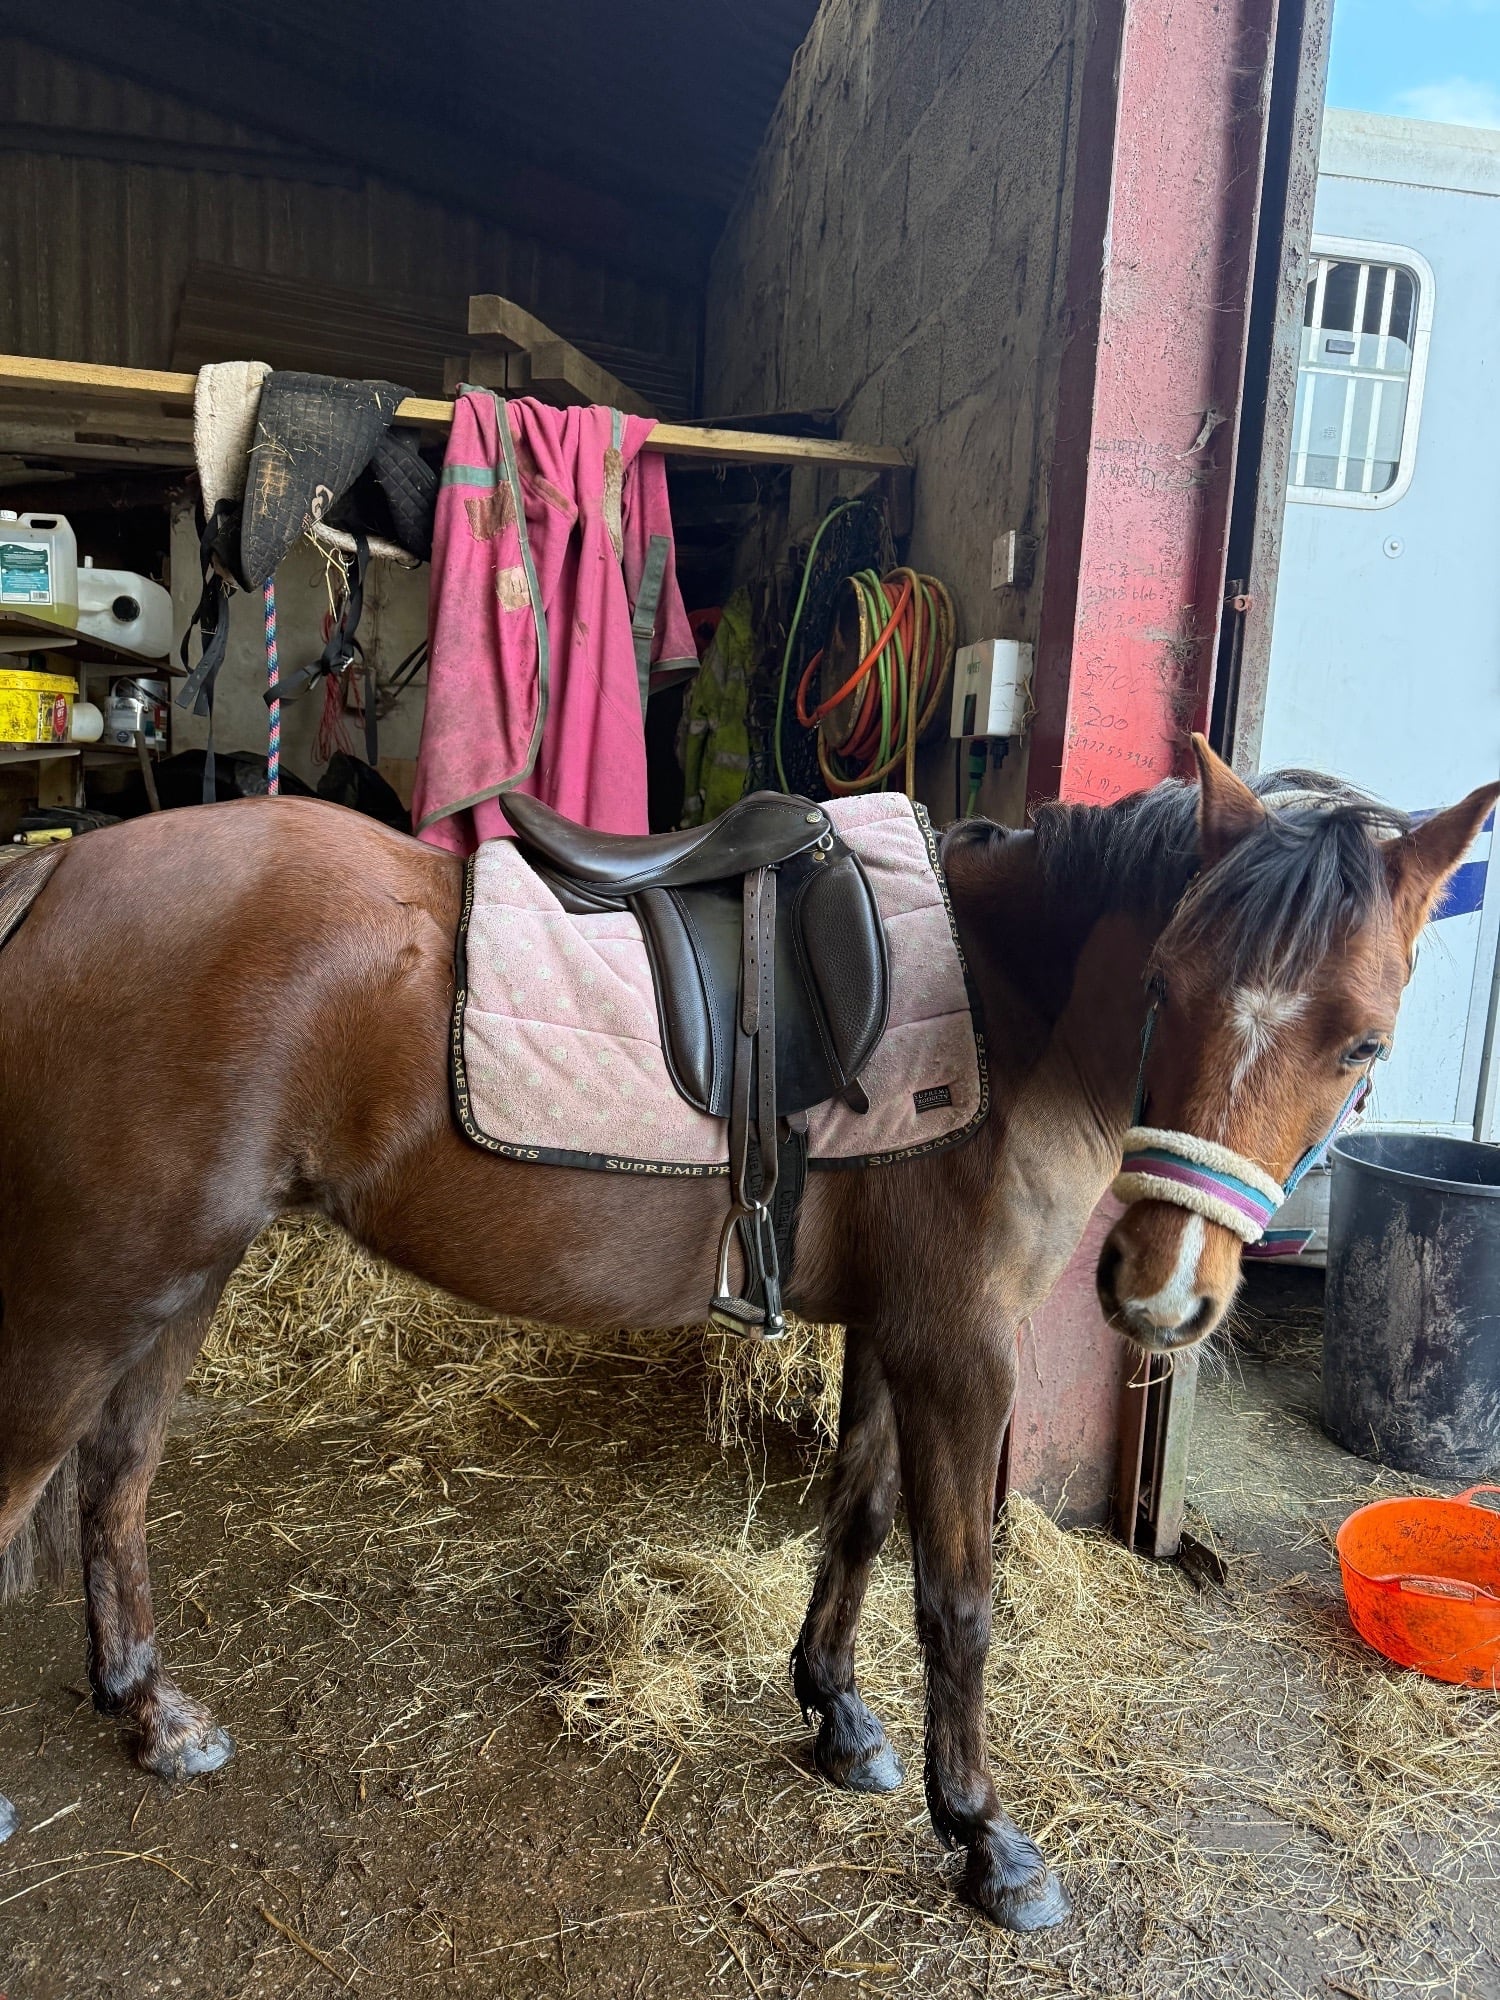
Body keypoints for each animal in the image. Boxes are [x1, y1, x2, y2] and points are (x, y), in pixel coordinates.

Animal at [0, 736, 1490, 1930]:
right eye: (1166, 985)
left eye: (1362, 1043)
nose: (1163, 1294)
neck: (1005, 1005)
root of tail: (56, 881)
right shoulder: (964, 1347)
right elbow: (959, 1594)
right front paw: (986, 1838)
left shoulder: (895, 1330)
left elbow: (859, 1519)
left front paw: (838, 1715)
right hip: (93, 1295)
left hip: (181, 1283)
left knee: (115, 1484)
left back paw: (151, 1709)